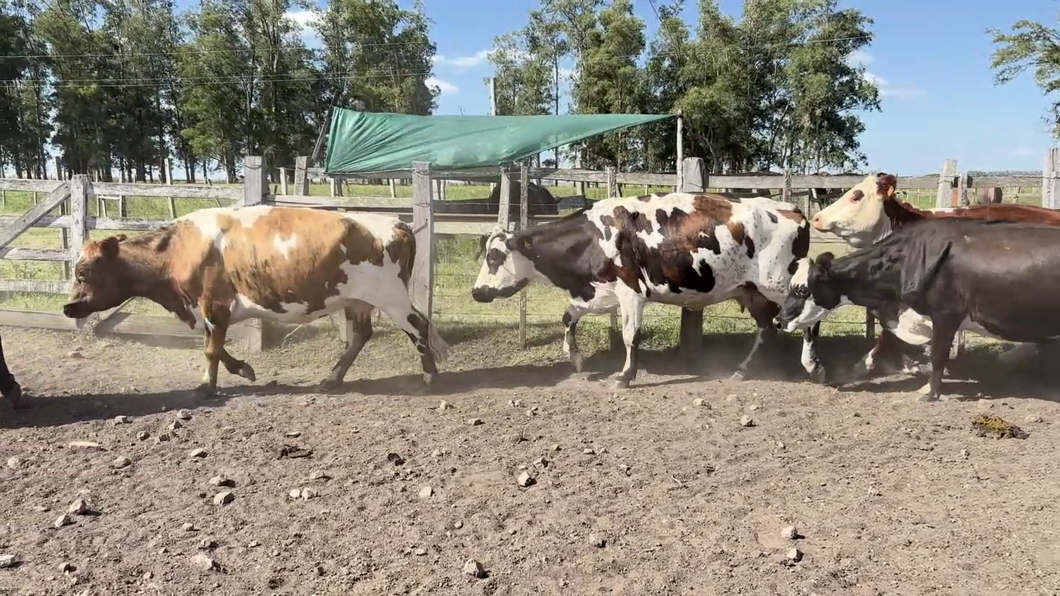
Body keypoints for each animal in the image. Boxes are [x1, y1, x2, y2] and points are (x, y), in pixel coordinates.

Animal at [61, 205, 449, 394]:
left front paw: (207, 387)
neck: (179, 248)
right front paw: (242, 369)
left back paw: (430, 379)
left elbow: (211, 349)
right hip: (357, 301)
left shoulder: (214, 303)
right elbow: (216, 346)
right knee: (361, 336)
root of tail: (398, 223)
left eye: (84, 273)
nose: (68, 307)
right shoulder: (208, 309)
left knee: (419, 325)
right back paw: (332, 379)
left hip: (392, 297)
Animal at [470, 192, 824, 388]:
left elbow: (631, 335)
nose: (476, 292)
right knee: (767, 328)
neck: (594, 236)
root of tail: (791, 209)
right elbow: (568, 317)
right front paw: (576, 358)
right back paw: (744, 370)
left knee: (810, 319)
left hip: (780, 284)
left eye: (494, 257)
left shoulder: (631, 291)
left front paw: (625, 376)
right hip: (752, 291)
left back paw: (813, 365)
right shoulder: (597, 292)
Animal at [778, 217, 1060, 401]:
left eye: (802, 290)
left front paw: (929, 392)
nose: (779, 320)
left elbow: (938, 354)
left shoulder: (946, 313)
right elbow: (888, 343)